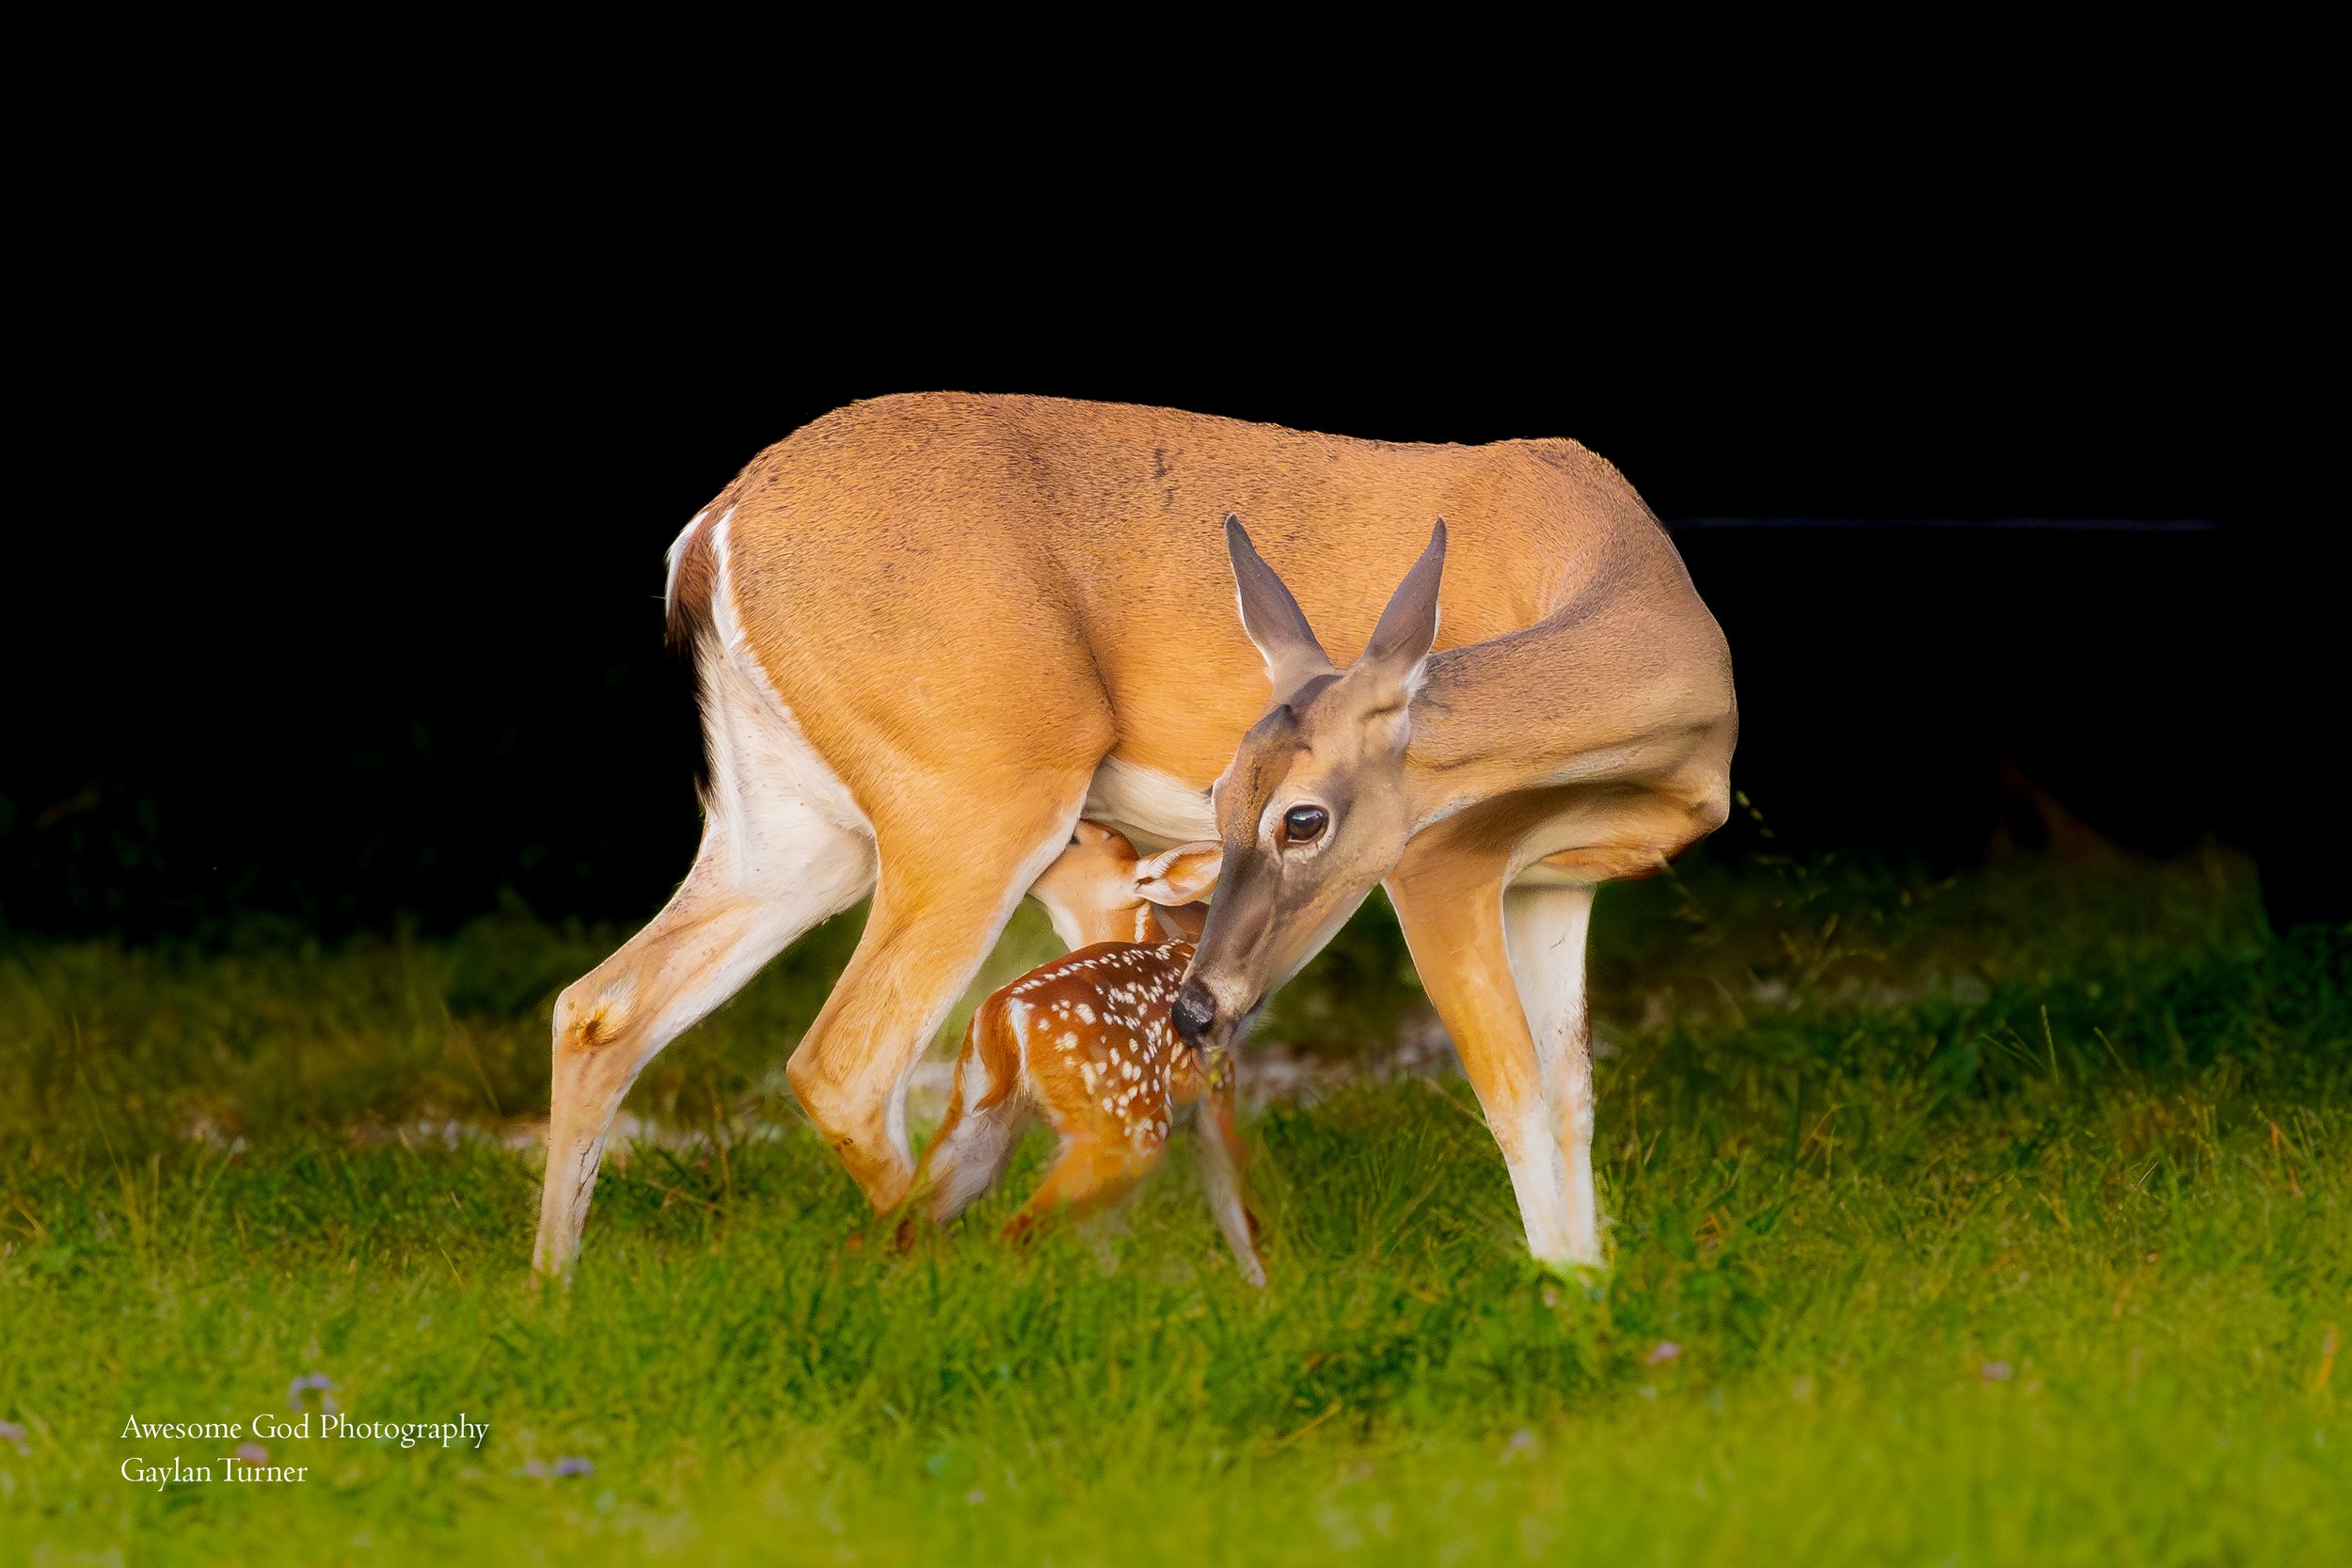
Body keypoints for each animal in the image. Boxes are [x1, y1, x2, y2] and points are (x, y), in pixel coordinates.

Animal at [895, 823, 1263, 1284]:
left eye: (1074, 838)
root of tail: (1004, 1013)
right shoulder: (1217, 1086)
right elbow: (1232, 1202)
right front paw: (1260, 1288)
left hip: (978, 1111)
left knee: (913, 1221)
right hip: (1127, 1124)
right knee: (1016, 1229)